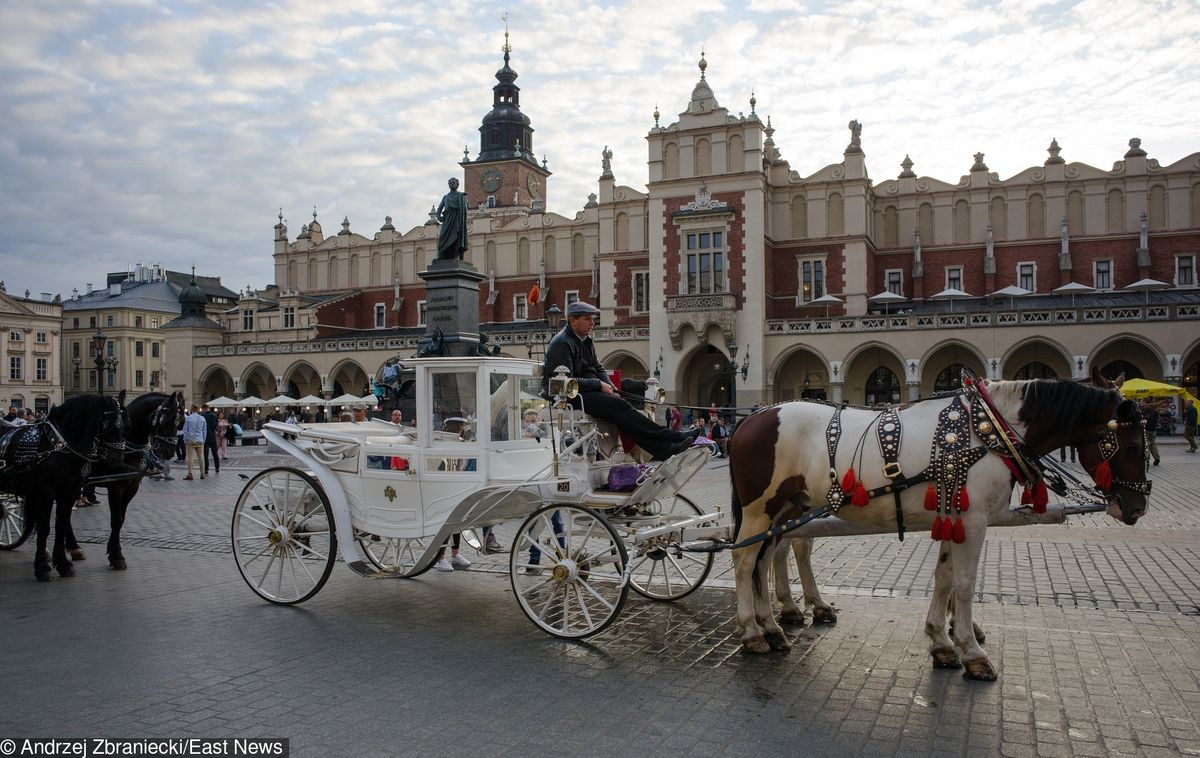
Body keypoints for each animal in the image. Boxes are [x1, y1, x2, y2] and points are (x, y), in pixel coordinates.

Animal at [0, 390, 127, 580]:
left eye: (125, 422)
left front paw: (63, 563)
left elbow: (61, 523)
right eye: (106, 422)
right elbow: (45, 527)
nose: (117, 457)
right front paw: (42, 567)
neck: (60, 446)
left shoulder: (70, 491)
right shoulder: (45, 492)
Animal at [65, 390, 182, 568]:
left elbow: (121, 519)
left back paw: (74, 548)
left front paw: (114, 553)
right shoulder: (116, 487)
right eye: (164, 420)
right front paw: (117, 556)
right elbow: (116, 519)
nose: (169, 452)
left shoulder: (132, 487)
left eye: (179, 421)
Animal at [724, 374, 1147, 681]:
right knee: (745, 561)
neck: (991, 431)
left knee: (767, 557)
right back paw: (753, 632)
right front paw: (972, 651)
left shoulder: (955, 518)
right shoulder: (974, 521)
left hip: (785, 509)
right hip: (759, 508)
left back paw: (773, 626)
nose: (1137, 508)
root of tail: (752, 417)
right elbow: (964, 583)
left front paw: (942, 643)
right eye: (1130, 447)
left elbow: (944, 579)